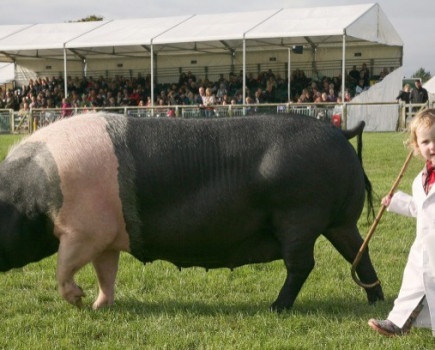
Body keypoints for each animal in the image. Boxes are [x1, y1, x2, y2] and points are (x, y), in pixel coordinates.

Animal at [0, 113, 384, 310]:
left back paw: (276, 307)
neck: (33, 193)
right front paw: (99, 306)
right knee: (359, 253)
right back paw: (375, 301)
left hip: (299, 216)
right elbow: (106, 272)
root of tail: (340, 132)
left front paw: (77, 301)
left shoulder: (82, 231)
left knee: (302, 264)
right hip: (338, 221)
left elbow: (63, 267)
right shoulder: (106, 236)